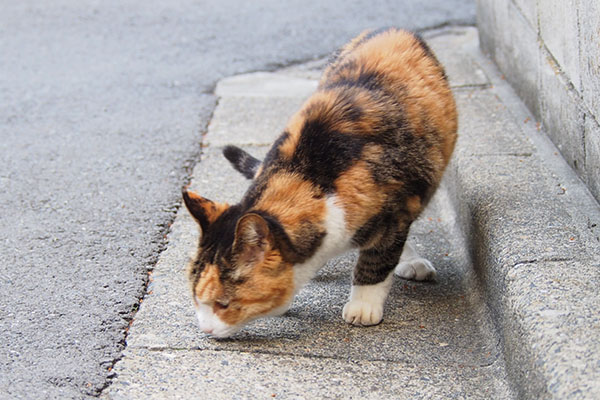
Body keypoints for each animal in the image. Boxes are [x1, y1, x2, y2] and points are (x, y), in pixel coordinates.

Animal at [183, 27, 454, 338]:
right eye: (195, 299)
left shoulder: (396, 207)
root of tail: (394, 29)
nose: (205, 330)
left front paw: (364, 305)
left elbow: (378, 259)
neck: (311, 177)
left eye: (223, 304)